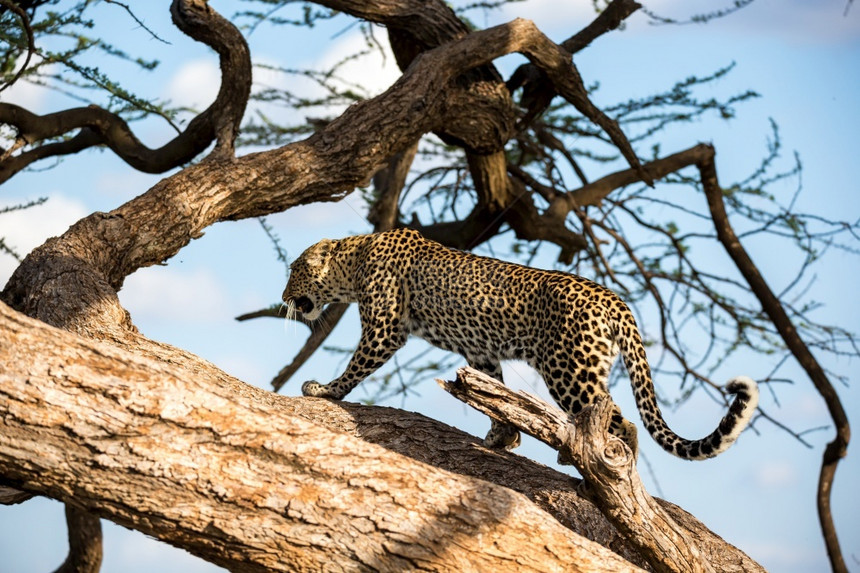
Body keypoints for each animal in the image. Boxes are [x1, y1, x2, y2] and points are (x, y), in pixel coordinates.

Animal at [282, 226, 760, 458]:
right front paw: (502, 438)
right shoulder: (480, 351)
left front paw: (323, 390)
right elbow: (492, 388)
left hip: (571, 372)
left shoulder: (384, 328)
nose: (283, 297)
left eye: (293, 270)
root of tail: (615, 299)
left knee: (622, 425)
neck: (354, 259)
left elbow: (354, 367)